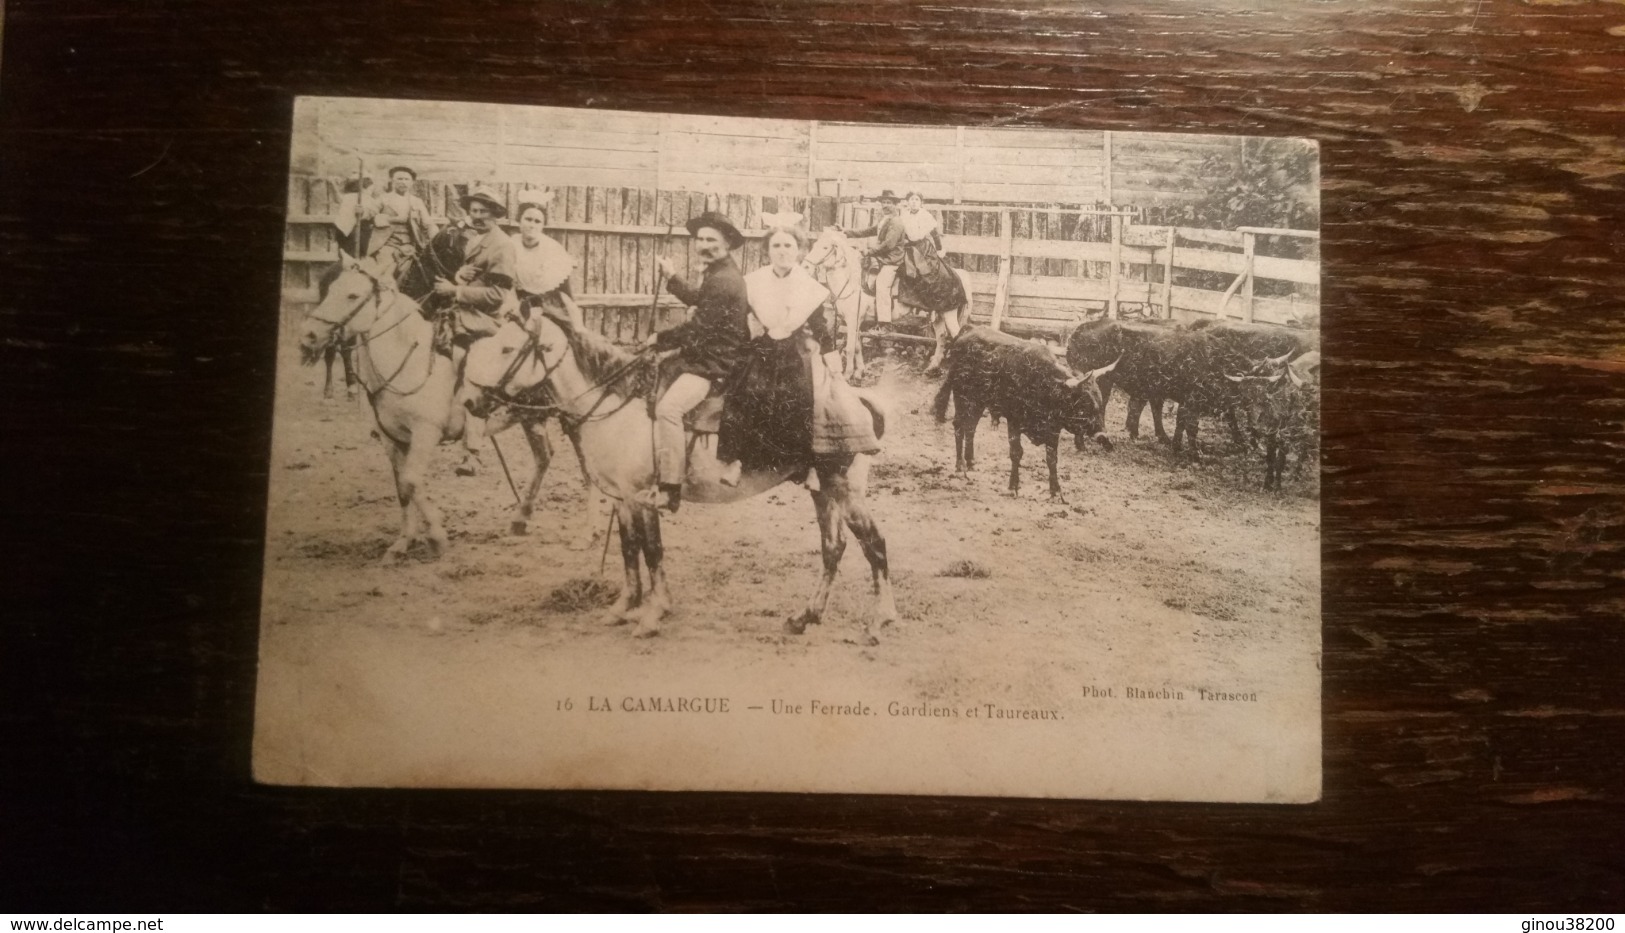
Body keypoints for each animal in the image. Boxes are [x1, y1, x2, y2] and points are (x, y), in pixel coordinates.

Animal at [468, 315, 903, 650]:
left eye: (508, 349)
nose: (474, 402)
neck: (617, 404)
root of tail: (859, 400)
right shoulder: (623, 500)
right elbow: (629, 551)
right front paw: (624, 607)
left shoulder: (643, 498)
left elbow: (652, 551)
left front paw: (653, 614)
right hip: (821, 490)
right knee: (834, 548)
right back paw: (804, 616)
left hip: (844, 489)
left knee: (875, 545)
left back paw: (877, 624)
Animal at [929, 328, 1118, 503]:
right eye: (1084, 405)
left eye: (1100, 403)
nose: (1103, 436)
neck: (1044, 385)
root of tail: (964, 335)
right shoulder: (1014, 421)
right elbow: (1016, 453)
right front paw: (1013, 486)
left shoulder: (1053, 429)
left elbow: (1052, 459)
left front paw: (1056, 491)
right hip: (962, 395)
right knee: (959, 425)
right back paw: (960, 466)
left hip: (979, 402)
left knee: (970, 428)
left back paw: (970, 461)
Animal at [1066, 318, 1319, 458]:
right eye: (1247, 397)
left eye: (1266, 397)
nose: (1257, 427)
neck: (1213, 361)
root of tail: (1080, 329)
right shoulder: (1193, 400)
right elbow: (1192, 426)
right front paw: (1195, 454)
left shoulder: (1187, 401)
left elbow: (1181, 423)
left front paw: (1176, 446)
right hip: (1100, 382)